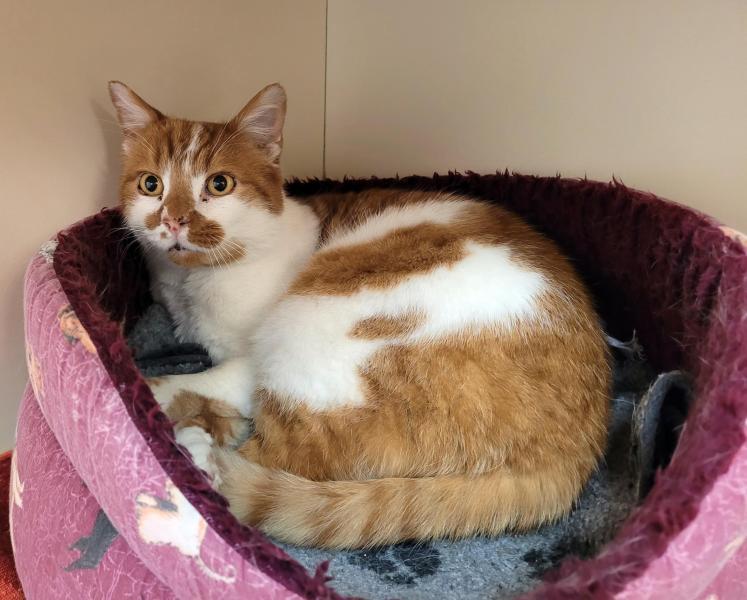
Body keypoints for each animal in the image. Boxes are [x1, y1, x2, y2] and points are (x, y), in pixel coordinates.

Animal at [110, 81, 611, 549]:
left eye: (218, 185)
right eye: (151, 184)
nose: (173, 220)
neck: (193, 285)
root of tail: (576, 444)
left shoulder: (250, 361)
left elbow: (187, 382)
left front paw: (147, 398)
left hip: (308, 323)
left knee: (282, 456)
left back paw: (189, 466)